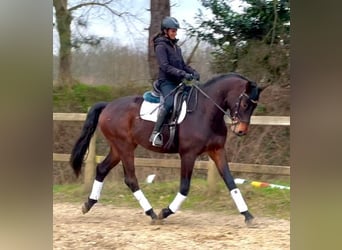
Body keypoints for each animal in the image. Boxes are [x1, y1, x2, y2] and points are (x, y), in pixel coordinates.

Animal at [71, 72, 266, 225]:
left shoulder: (217, 151)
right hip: (124, 147)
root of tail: (108, 105)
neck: (206, 111)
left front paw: (248, 216)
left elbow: (231, 182)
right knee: (131, 179)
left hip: (119, 148)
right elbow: (185, 187)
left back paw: (88, 204)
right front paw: (165, 212)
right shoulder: (188, 154)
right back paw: (152, 213)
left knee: (102, 169)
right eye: (245, 104)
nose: (241, 131)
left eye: (254, 106)